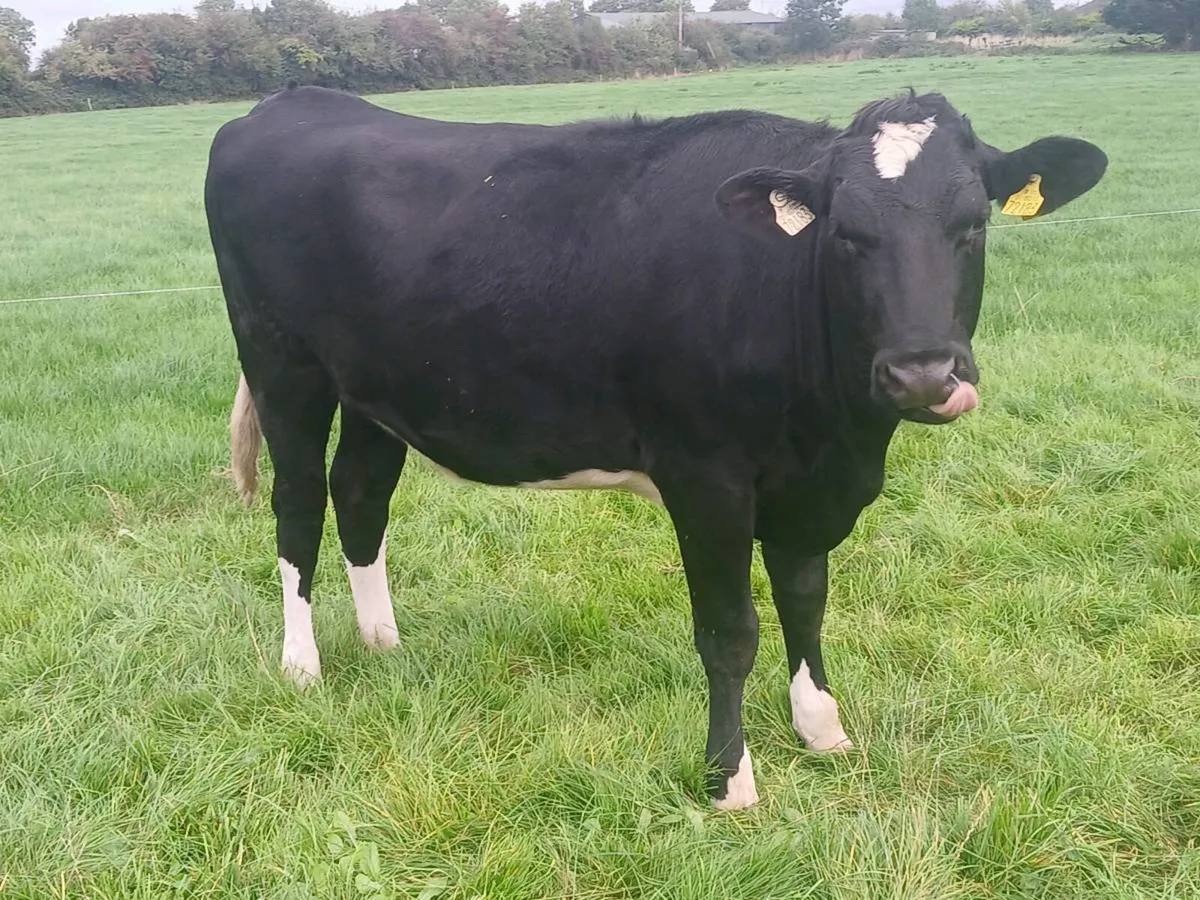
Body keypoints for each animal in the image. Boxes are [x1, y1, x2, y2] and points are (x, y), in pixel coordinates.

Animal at [204, 84, 1106, 809]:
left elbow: (806, 599)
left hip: (375, 388)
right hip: (283, 362)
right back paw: (302, 666)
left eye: (973, 224)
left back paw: (384, 645)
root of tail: (287, 103)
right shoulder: (707, 478)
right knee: (299, 505)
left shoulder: (806, 487)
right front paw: (730, 780)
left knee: (360, 494)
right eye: (846, 234)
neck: (838, 434)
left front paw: (820, 728)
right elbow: (729, 631)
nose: (921, 373)